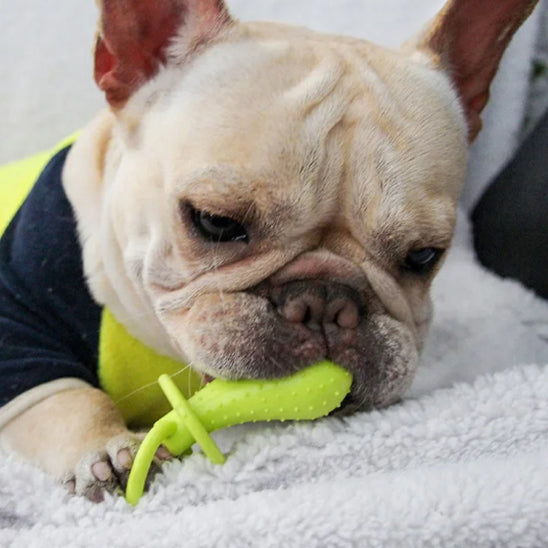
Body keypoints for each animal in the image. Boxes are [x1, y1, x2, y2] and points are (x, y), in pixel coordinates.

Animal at [0, 0, 540, 500]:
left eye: (424, 256)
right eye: (216, 222)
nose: (326, 301)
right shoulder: (21, 322)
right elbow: (67, 400)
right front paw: (107, 450)